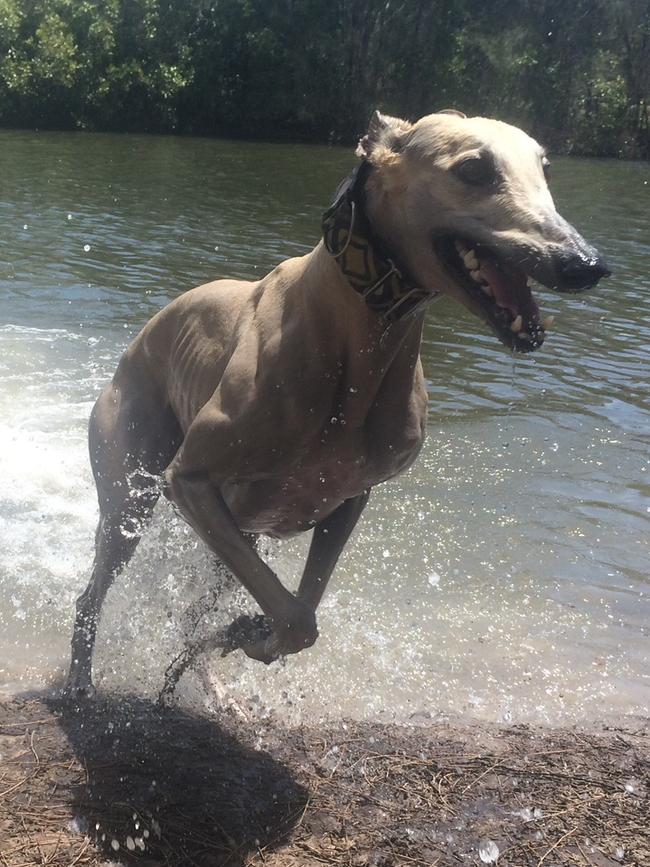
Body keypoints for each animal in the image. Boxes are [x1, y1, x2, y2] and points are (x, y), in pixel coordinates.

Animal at [63, 110, 612, 700]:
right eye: (473, 168)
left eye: (546, 168)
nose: (587, 264)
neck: (358, 343)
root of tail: (139, 340)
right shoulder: (187, 479)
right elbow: (295, 618)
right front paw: (245, 634)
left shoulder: (347, 498)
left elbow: (297, 614)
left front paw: (238, 637)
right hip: (131, 493)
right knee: (92, 593)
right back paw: (78, 684)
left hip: (233, 533)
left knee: (196, 603)